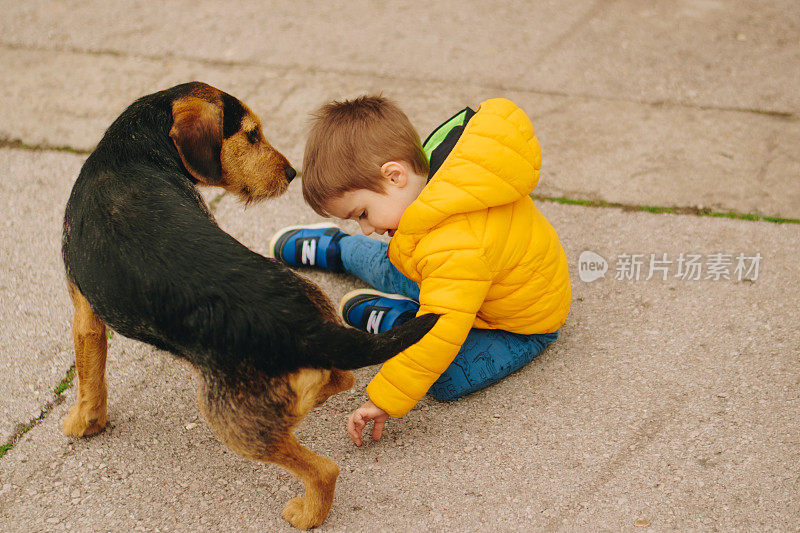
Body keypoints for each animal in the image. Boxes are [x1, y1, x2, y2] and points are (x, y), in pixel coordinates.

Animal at [61, 83, 438, 528]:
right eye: (252, 135)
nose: (291, 173)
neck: (132, 148)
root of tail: (307, 328)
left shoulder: (84, 311)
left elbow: (90, 379)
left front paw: (82, 423)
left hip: (233, 423)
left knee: (324, 469)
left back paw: (307, 513)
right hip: (312, 309)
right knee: (341, 378)